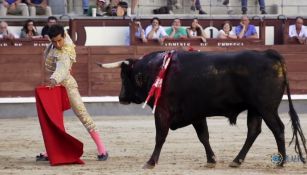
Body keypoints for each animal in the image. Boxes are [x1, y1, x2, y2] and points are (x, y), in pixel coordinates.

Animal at [99, 49, 307, 168]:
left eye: (124, 76)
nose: (120, 98)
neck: (156, 70)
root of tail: (269, 54)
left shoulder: (162, 111)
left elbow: (160, 136)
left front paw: (150, 162)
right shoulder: (196, 113)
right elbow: (203, 136)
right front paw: (211, 159)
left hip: (266, 108)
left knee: (277, 129)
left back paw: (281, 162)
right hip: (255, 109)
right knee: (254, 131)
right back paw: (236, 160)